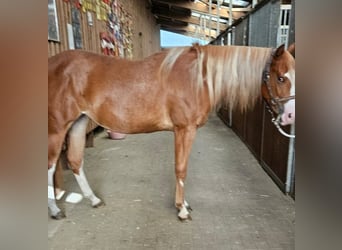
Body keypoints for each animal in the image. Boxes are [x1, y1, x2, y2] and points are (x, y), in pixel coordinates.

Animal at [47, 44, 294, 220]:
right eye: (280, 77)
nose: (290, 116)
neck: (198, 79)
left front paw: (183, 204)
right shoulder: (184, 129)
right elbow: (181, 169)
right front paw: (181, 209)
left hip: (79, 122)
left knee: (75, 161)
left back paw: (93, 199)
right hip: (57, 127)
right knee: (50, 165)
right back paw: (55, 210)